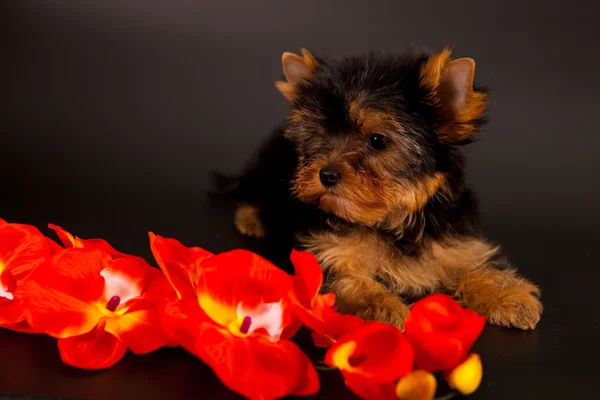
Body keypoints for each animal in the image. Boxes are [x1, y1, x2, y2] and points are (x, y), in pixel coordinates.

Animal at [224, 47, 544, 330]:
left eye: (377, 140)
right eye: (318, 136)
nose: (326, 174)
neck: (393, 219)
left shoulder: (457, 242)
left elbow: (475, 265)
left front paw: (509, 296)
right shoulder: (328, 251)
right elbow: (347, 281)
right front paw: (384, 306)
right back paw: (251, 219)